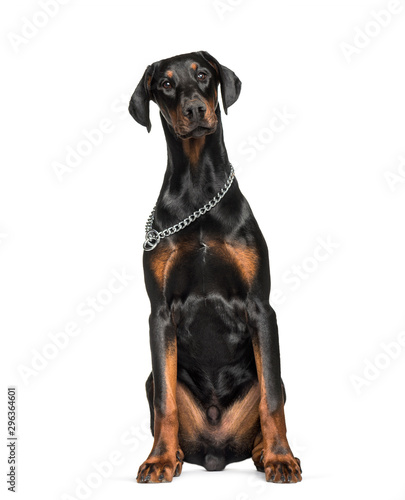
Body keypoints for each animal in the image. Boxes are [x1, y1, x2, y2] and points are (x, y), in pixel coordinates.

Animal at [129, 51, 300, 484]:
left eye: (203, 75)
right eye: (166, 84)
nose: (194, 109)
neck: (197, 190)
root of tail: (215, 454)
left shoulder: (260, 306)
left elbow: (271, 400)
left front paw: (281, 458)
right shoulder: (160, 313)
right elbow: (166, 402)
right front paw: (157, 460)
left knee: (272, 394)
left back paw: (265, 453)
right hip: (151, 379)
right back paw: (172, 454)